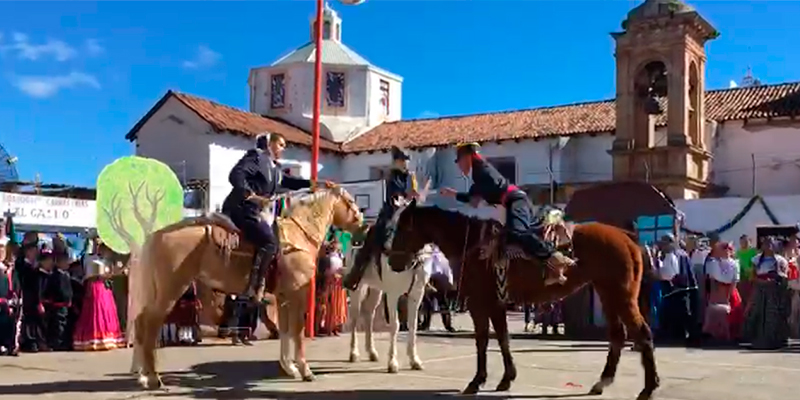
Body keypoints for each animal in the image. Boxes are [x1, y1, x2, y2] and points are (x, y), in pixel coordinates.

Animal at [129, 187, 366, 388]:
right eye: (351, 201)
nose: (363, 226)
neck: (299, 234)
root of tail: (156, 236)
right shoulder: (297, 294)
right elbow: (297, 331)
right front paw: (305, 371)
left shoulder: (283, 297)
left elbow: (285, 331)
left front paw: (289, 368)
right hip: (171, 291)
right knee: (150, 325)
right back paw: (153, 378)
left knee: (140, 323)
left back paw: (142, 377)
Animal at [344, 244, 432, 376]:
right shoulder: (393, 294)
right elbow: (395, 325)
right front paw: (392, 363)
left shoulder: (416, 295)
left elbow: (413, 325)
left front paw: (414, 360)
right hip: (358, 290)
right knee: (355, 317)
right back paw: (354, 353)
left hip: (376, 290)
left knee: (369, 314)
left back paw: (372, 352)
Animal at [384, 203, 660, 400]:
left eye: (402, 229)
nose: (392, 261)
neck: (473, 245)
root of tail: (626, 237)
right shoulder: (495, 304)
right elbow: (502, 339)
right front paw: (506, 378)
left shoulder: (479, 304)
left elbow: (483, 341)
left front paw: (477, 380)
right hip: (607, 293)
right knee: (618, 335)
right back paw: (603, 382)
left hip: (621, 295)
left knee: (642, 333)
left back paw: (648, 388)